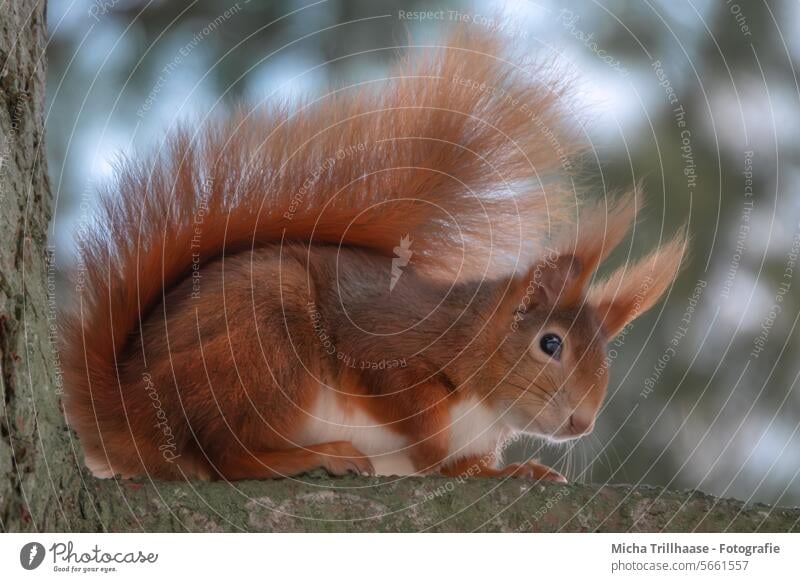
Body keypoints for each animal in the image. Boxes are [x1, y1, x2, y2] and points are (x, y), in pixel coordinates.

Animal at [59, 28, 684, 484]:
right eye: (550, 344)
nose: (582, 422)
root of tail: (128, 407)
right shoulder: (385, 344)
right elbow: (405, 403)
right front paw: (436, 448)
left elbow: (464, 468)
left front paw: (515, 471)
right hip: (261, 348)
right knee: (220, 457)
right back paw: (313, 455)